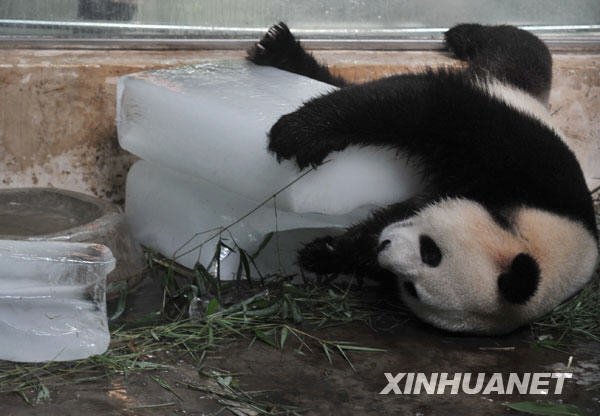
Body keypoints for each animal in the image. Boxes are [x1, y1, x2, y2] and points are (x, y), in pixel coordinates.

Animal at [246, 22, 596, 334]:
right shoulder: (521, 160)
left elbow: (391, 217)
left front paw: (325, 253)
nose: (384, 245)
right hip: (507, 89)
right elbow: (424, 110)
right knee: (520, 50)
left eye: (412, 287)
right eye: (432, 252)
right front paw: (298, 134)